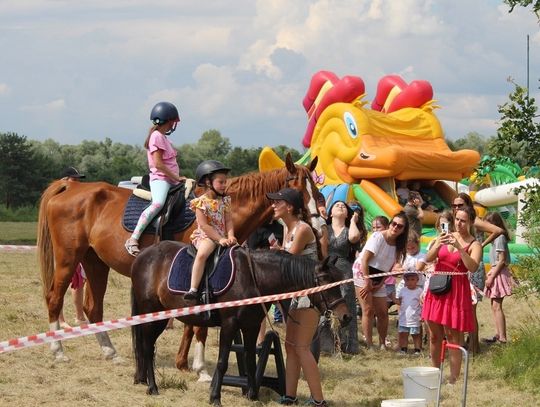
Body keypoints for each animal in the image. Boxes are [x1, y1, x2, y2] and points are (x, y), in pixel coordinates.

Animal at [38, 155, 320, 370]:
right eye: (296, 189)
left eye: (316, 190)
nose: (318, 224)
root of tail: (71, 187)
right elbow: (196, 321)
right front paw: (198, 366)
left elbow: (192, 320)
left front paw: (184, 362)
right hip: (68, 258)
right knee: (54, 298)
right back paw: (57, 350)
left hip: (95, 262)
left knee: (93, 307)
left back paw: (111, 352)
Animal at [131, 244, 350, 406]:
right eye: (325, 281)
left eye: (339, 279)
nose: (346, 316)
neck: (254, 277)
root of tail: (143, 255)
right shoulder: (229, 325)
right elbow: (222, 362)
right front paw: (215, 397)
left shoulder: (251, 326)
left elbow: (251, 361)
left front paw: (253, 396)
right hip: (152, 314)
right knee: (147, 348)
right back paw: (152, 387)